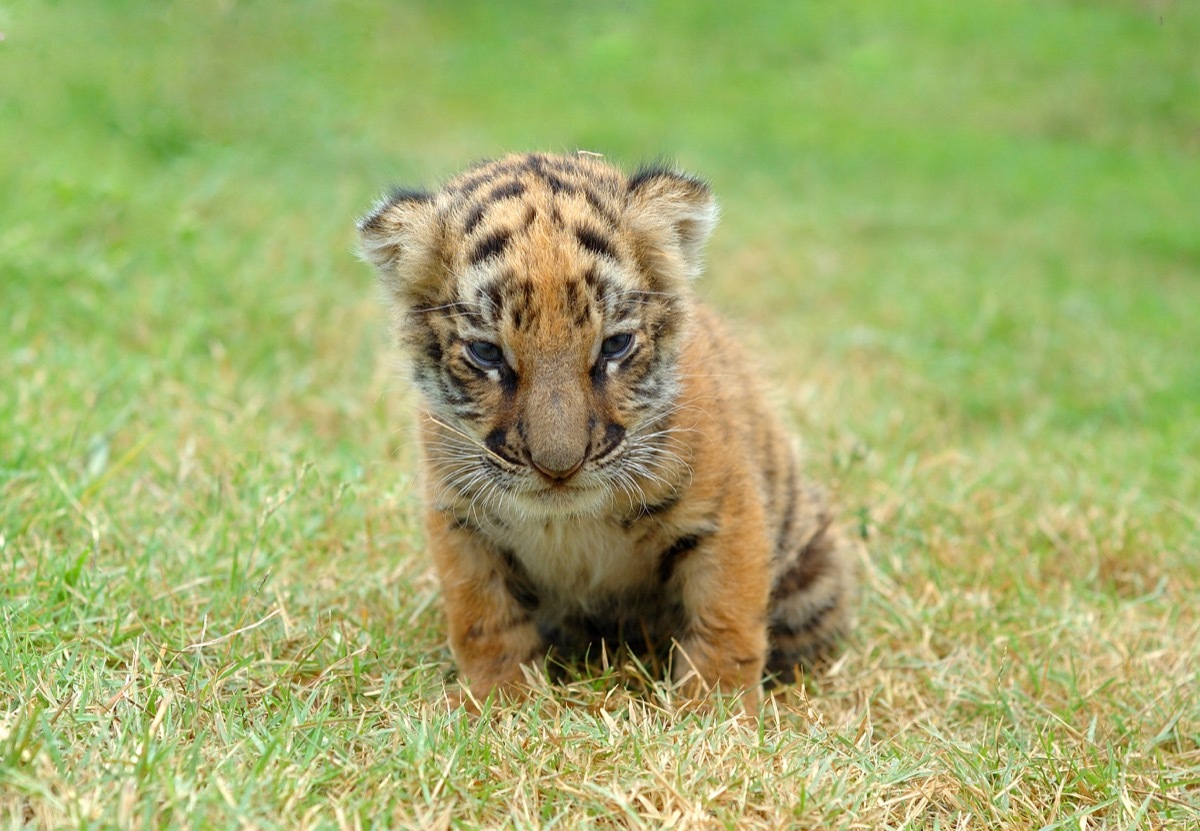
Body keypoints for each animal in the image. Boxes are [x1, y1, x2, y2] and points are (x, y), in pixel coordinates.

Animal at [355, 150, 854, 706]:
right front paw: (500, 703)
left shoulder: (727, 512)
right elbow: (484, 622)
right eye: (486, 353)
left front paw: (715, 710)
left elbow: (725, 622)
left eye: (615, 345)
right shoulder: (460, 520)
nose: (558, 468)